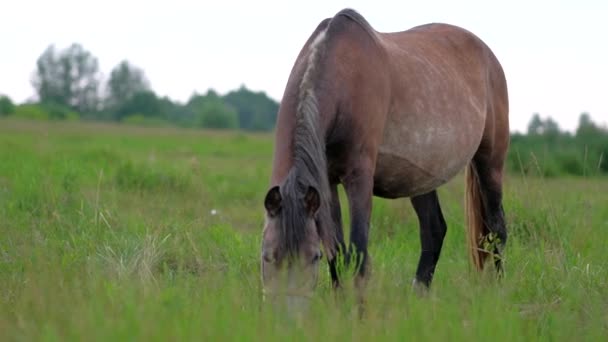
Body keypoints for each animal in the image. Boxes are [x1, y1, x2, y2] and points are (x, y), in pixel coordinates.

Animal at [260, 8, 508, 304]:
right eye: (267, 257)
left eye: (313, 258)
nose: (287, 309)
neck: (343, 76)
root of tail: (488, 55)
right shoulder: (327, 183)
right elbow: (337, 250)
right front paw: (339, 305)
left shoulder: (359, 179)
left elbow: (358, 252)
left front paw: (358, 309)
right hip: (420, 178)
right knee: (434, 230)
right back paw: (418, 296)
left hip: (490, 162)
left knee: (496, 229)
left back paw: (499, 290)